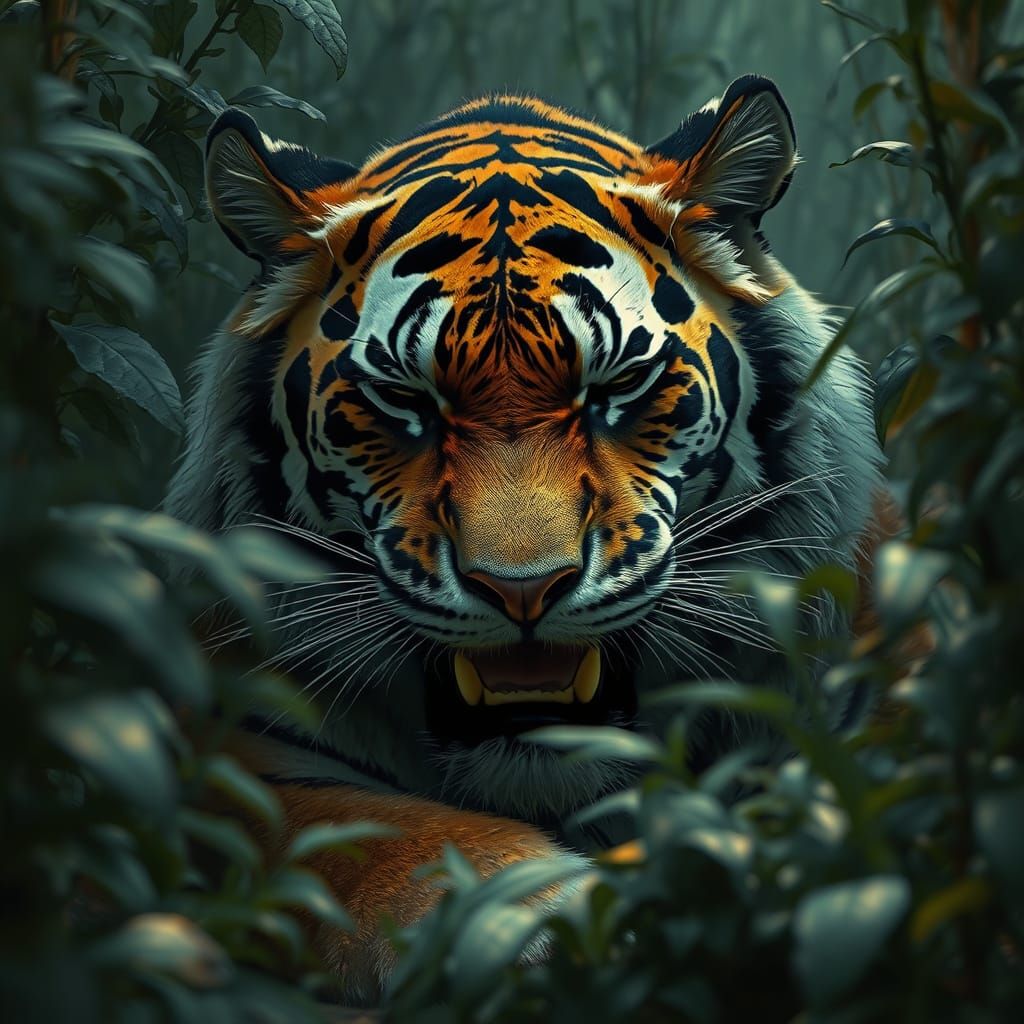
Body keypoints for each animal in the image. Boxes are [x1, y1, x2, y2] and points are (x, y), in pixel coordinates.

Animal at [165, 75, 884, 1001]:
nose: (522, 590)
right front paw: (539, 919)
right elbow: (378, 831)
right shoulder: (236, 750)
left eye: (616, 387)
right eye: (405, 399)